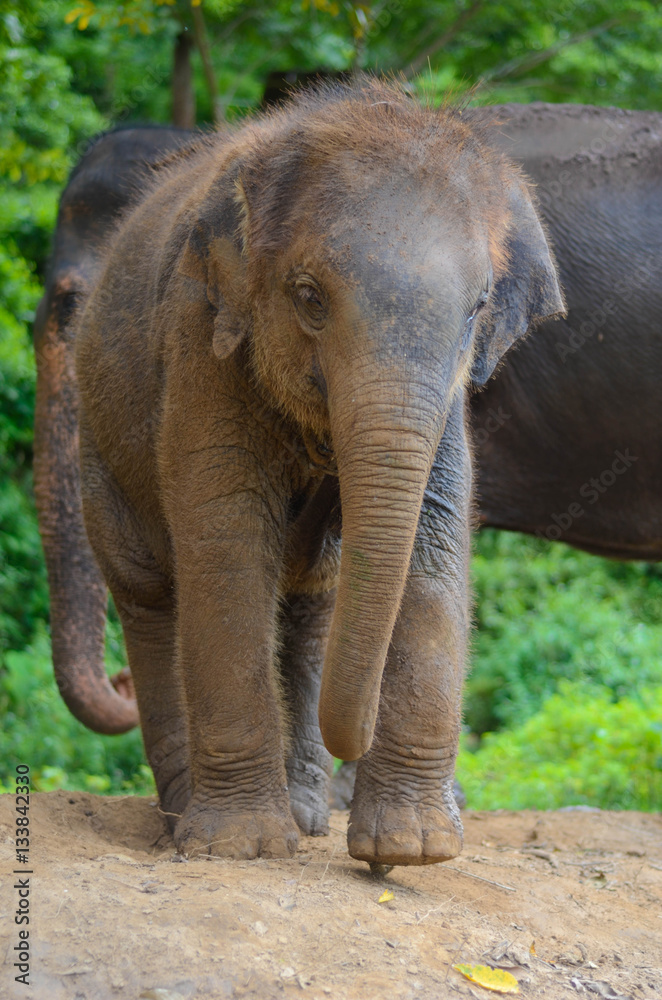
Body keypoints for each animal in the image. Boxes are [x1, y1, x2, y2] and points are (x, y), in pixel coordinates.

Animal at [64, 78, 562, 864]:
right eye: (307, 296)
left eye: (479, 307)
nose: (352, 737)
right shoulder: (201, 340)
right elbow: (227, 540)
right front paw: (241, 846)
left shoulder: (450, 406)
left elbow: (434, 539)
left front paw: (410, 849)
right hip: (98, 449)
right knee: (149, 596)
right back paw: (184, 818)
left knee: (309, 603)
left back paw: (305, 813)